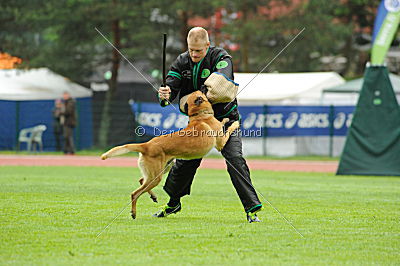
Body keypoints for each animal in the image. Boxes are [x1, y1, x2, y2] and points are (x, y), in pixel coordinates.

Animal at [101, 89, 239, 218]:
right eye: (202, 91)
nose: (204, 86)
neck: (198, 115)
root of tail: (146, 145)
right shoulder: (221, 142)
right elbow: (228, 128)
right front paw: (234, 122)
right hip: (156, 176)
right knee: (135, 193)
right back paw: (134, 212)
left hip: (163, 169)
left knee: (141, 180)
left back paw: (153, 197)